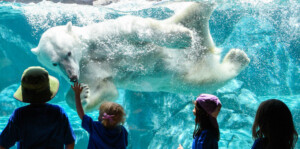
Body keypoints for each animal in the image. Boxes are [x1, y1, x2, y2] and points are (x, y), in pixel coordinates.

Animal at [31, 1, 251, 111]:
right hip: (188, 77)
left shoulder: (104, 36)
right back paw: (237, 57)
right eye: (54, 63)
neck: (87, 51)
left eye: (68, 52)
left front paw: (182, 39)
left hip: (181, 19)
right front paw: (83, 95)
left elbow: (137, 28)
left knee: (193, 10)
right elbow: (106, 88)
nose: (72, 76)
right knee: (210, 78)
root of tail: (206, 48)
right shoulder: (88, 69)